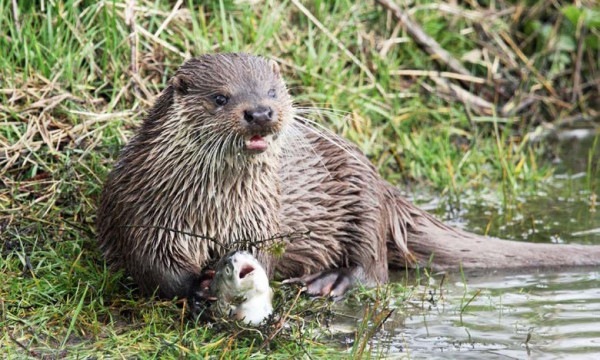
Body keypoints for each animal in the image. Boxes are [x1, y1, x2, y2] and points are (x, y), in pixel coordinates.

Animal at [97, 52, 600, 300]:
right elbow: (151, 268)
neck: (214, 209)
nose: (260, 111)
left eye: (274, 91)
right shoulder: (141, 212)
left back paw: (330, 283)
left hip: (363, 201)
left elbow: (268, 257)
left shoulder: (264, 219)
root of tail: (389, 190)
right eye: (220, 97)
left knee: (374, 270)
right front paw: (195, 290)